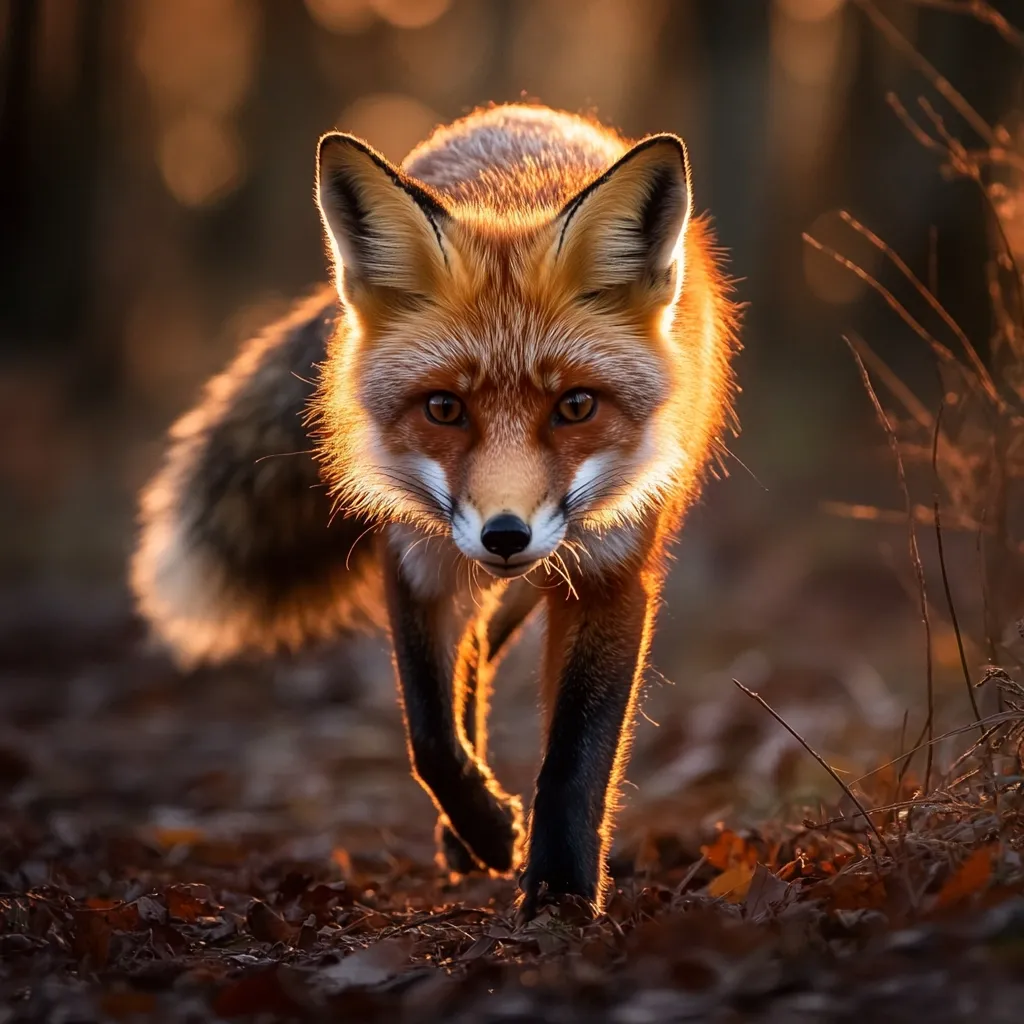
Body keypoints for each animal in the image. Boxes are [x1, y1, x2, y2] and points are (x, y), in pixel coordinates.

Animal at [131, 104, 739, 917]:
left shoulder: (611, 571)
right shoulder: (416, 557)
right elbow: (430, 735)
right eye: (444, 408)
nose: (506, 534)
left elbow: (576, 756)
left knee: (482, 654)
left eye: (576, 406)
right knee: (469, 667)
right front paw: (486, 830)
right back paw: (467, 834)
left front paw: (559, 891)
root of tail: (522, 113)